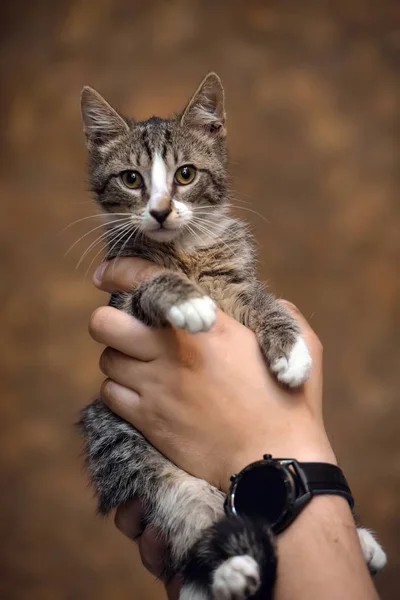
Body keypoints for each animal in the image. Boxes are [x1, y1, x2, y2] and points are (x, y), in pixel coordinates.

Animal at [77, 72, 384, 596]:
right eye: (132, 179)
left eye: (185, 174)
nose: (160, 211)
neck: (183, 252)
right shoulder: (121, 303)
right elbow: (150, 289)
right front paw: (187, 301)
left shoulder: (237, 278)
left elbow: (263, 301)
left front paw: (292, 351)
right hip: (130, 453)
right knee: (186, 519)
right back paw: (227, 568)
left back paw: (359, 540)